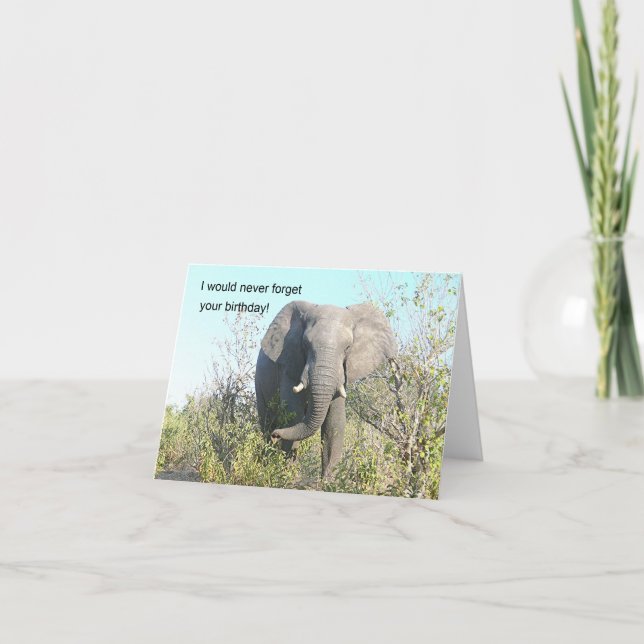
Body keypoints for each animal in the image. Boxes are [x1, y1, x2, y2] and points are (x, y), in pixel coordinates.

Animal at [255, 300, 397, 478]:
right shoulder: (289, 362)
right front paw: (284, 476)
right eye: (305, 344)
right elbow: (293, 416)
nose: (276, 433)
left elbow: (334, 422)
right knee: (267, 421)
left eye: (348, 347)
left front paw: (328, 482)